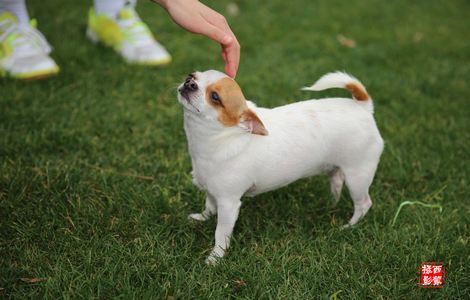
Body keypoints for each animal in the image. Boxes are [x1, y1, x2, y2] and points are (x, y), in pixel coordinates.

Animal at [176, 70, 382, 262]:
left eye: (215, 97)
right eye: (191, 75)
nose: (189, 82)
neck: (221, 138)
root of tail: (362, 107)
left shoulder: (229, 204)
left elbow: (220, 233)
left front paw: (215, 257)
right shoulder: (211, 189)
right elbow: (209, 206)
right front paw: (202, 218)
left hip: (358, 176)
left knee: (364, 203)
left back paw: (349, 226)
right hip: (337, 167)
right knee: (337, 180)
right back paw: (333, 201)